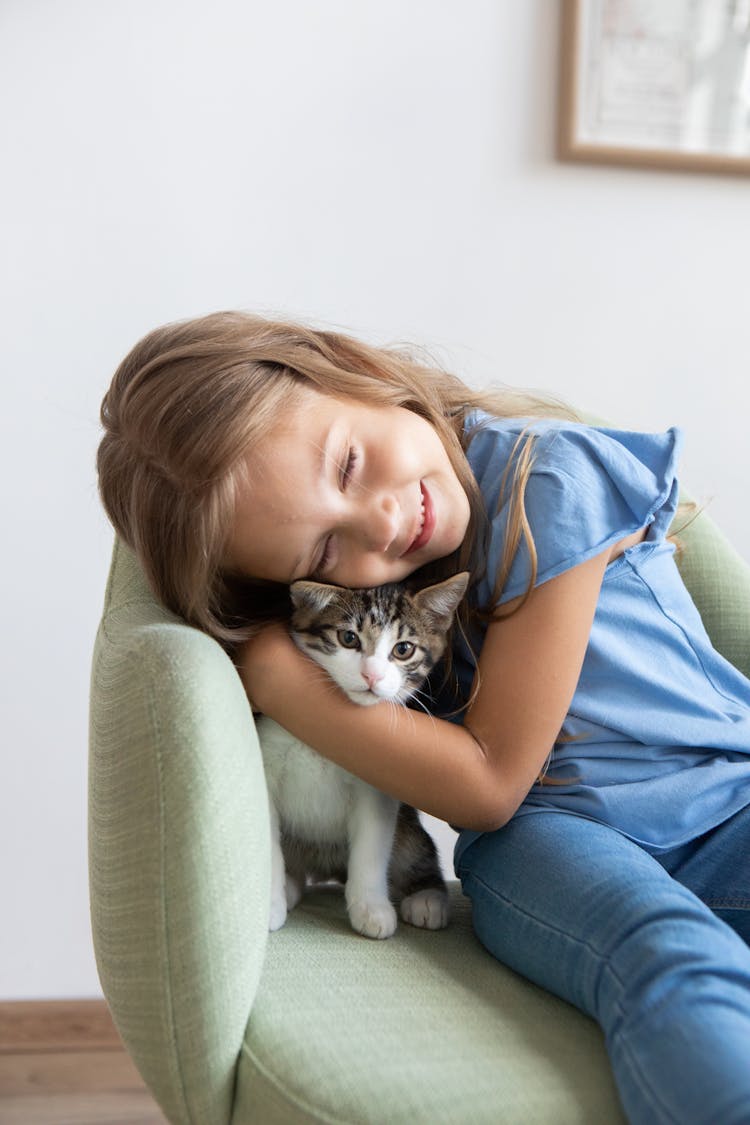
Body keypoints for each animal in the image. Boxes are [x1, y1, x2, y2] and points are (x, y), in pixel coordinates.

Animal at [258, 571, 470, 940]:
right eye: (348, 638)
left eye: (403, 649)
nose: (372, 675)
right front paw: (269, 904)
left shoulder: (378, 776)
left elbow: (372, 845)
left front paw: (371, 908)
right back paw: (291, 885)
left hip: (408, 828)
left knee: (415, 848)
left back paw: (427, 897)